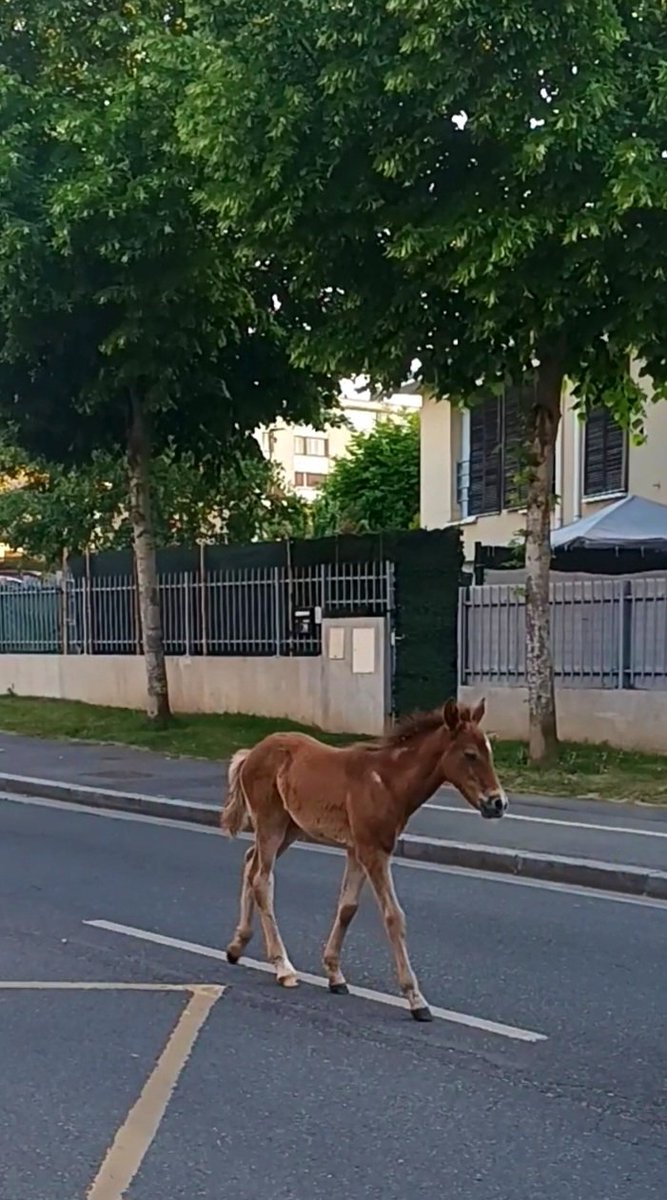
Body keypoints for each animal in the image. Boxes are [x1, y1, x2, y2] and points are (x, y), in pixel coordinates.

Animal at [220, 697, 507, 1022]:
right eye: (470, 754)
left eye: (490, 752)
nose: (498, 803)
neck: (387, 782)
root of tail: (250, 754)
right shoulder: (374, 852)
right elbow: (394, 916)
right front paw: (416, 999)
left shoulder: (356, 850)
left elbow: (348, 907)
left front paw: (335, 975)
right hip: (271, 824)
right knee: (262, 880)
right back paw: (283, 967)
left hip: (290, 828)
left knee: (249, 862)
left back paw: (237, 945)